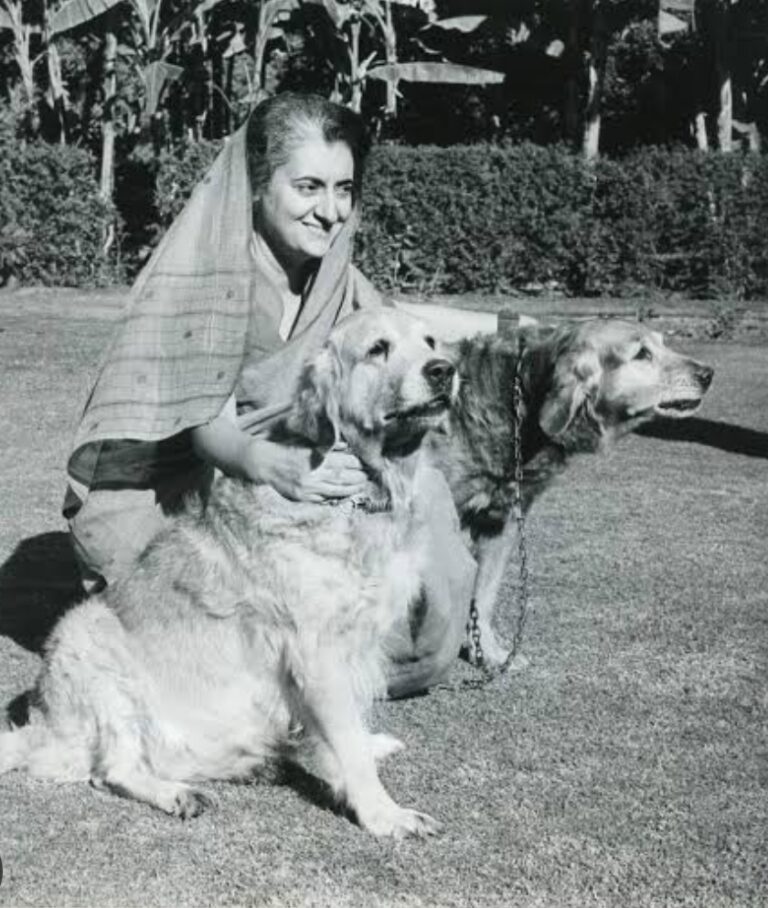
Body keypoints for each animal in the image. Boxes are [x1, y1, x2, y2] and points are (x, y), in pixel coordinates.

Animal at [0, 310, 456, 836]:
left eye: (431, 342)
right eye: (378, 348)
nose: (444, 370)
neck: (363, 499)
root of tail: (45, 726)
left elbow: (350, 733)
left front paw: (365, 753)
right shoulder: (317, 654)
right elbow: (347, 744)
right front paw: (384, 814)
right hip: (91, 645)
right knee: (113, 769)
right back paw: (178, 793)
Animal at [432, 320, 712, 668]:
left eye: (662, 343)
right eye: (642, 354)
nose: (708, 373)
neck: (518, 400)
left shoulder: (503, 522)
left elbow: (484, 593)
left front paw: (489, 652)